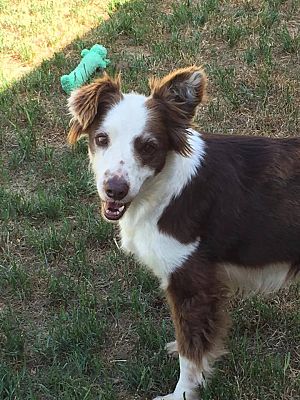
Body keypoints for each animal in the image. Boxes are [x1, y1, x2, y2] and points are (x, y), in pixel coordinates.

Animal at [67, 67, 300, 398]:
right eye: (101, 139)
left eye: (149, 146)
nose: (115, 189)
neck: (163, 190)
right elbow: (191, 341)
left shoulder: (192, 283)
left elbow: (191, 354)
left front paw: (183, 393)